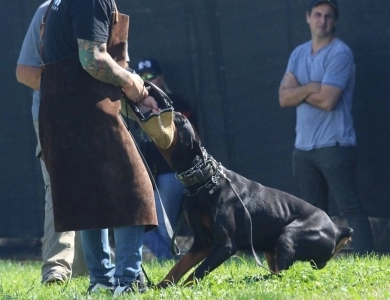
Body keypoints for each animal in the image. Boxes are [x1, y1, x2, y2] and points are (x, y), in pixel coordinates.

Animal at [154, 111, 352, 288]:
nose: (164, 108)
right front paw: (159, 287)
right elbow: (178, 268)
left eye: (180, 119)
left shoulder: (225, 245)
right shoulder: (202, 243)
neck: (204, 180)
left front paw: (183, 289)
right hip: (273, 248)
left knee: (282, 272)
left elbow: (197, 273)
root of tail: (336, 228)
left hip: (289, 235)